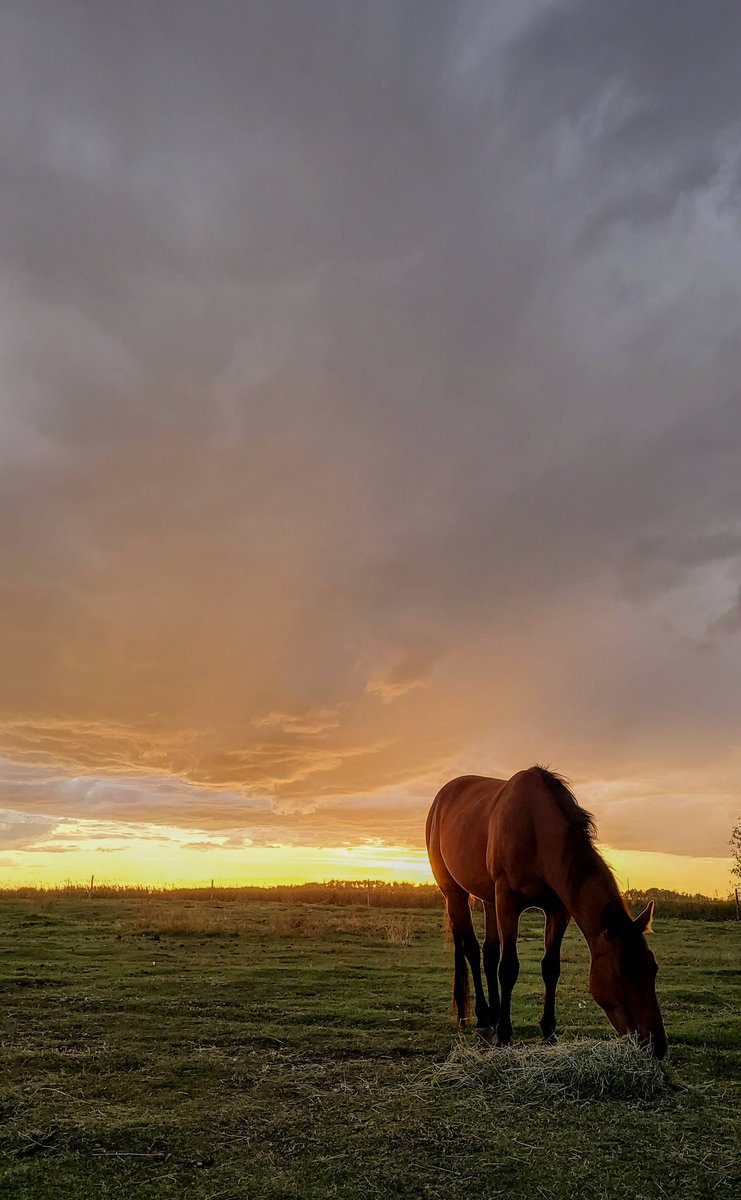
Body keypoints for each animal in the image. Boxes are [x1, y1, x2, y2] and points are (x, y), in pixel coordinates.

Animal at [426, 766, 667, 1058]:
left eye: (652, 968)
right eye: (622, 970)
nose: (657, 1045)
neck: (536, 830)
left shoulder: (557, 910)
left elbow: (550, 967)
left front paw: (549, 1033)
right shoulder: (508, 901)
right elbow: (509, 967)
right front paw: (505, 1035)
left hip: (489, 900)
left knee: (489, 953)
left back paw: (494, 1016)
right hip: (455, 893)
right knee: (472, 950)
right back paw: (485, 1020)